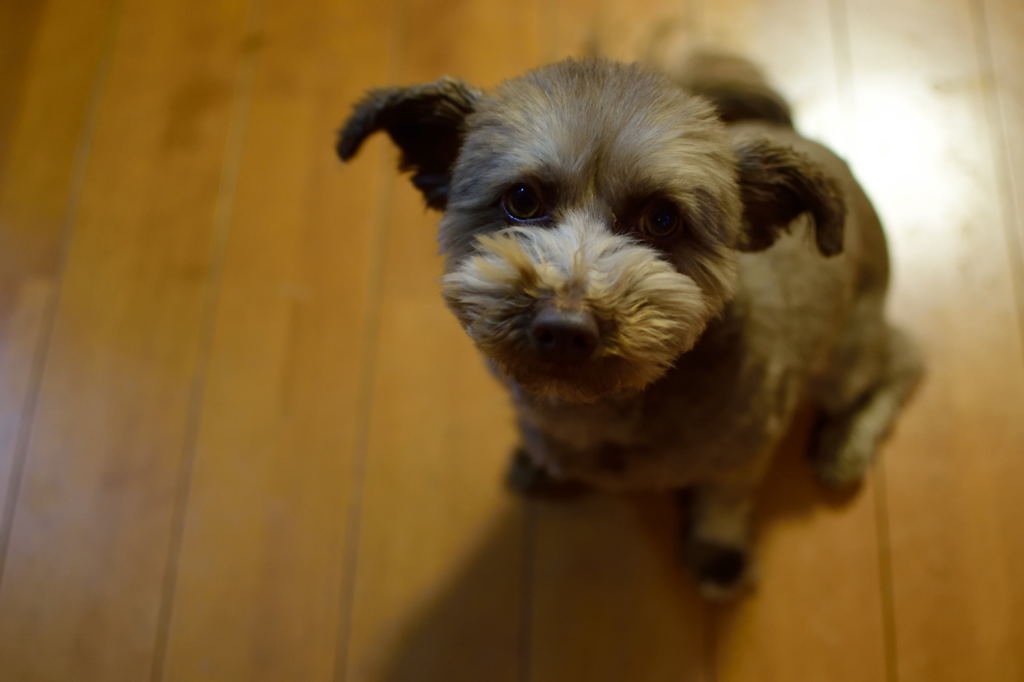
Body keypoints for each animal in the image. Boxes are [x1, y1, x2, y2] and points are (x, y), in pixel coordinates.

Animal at [339, 51, 925, 593]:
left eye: (663, 219)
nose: (565, 329)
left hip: (844, 357)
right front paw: (540, 462)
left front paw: (717, 552)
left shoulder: (748, 447)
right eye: (521, 200)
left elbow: (725, 495)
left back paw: (846, 444)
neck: (612, 406)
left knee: (905, 359)